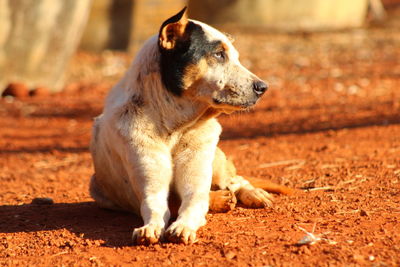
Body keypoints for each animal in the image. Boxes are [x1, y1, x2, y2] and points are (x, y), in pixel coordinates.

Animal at [90, 7, 290, 246]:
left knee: (236, 181)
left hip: (216, 163)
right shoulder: (150, 185)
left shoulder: (197, 173)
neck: (174, 126)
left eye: (235, 56)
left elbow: (194, 202)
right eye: (219, 54)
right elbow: (156, 207)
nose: (263, 87)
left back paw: (252, 194)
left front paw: (183, 226)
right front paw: (150, 228)